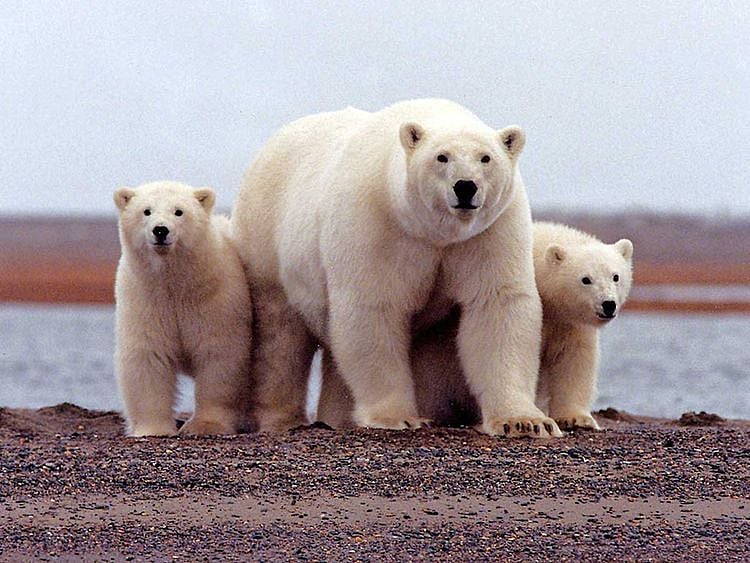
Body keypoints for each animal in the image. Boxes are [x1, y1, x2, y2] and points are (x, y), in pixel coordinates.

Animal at [114, 181, 252, 437]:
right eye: (146, 211)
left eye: (179, 211)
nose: (160, 230)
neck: (176, 284)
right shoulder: (145, 300)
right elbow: (148, 356)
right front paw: (153, 429)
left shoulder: (215, 300)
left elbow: (218, 356)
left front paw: (205, 425)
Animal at [232, 98, 561, 438]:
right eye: (441, 157)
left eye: (486, 158)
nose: (465, 187)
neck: (432, 232)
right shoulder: (377, 224)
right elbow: (374, 308)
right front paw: (398, 417)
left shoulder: (488, 232)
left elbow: (496, 305)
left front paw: (525, 421)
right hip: (267, 241)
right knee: (280, 336)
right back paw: (282, 418)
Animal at [344, 221, 633, 431]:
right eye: (585, 279)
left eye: (615, 276)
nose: (608, 304)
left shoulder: (569, 323)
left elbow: (574, 360)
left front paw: (577, 418)